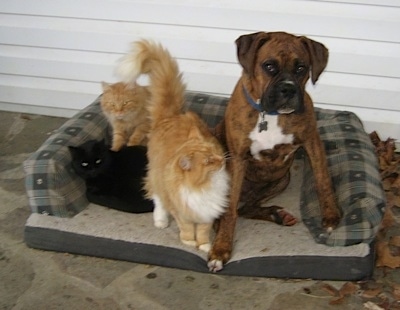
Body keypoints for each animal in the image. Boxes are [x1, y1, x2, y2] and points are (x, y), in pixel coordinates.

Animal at [115, 41, 230, 253]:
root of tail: (170, 116)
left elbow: (203, 231)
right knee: (157, 199)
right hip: (156, 178)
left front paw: (205, 246)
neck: (203, 186)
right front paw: (189, 242)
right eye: (209, 161)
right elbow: (187, 228)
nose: (222, 160)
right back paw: (160, 221)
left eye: (215, 152)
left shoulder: (207, 213)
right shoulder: (181, 211)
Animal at [208, 31, 342, 272]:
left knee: (247, 207)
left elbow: (323, 179)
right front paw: (221, 249)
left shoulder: (312, 141)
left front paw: (330, 214)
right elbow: (230, 210)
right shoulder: (238, 159)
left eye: (301, 68)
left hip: (281, 180)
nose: (288, 89)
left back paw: (277, 214)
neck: (269, 115)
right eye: (269, 66)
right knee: (229, 209)